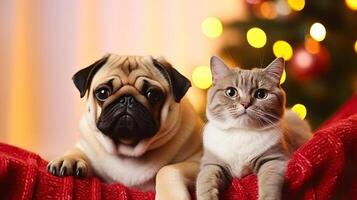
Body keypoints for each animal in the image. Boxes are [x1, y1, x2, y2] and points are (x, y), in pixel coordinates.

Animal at [47, 54, 203, 199]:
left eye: (153, 94)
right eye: (102, 93)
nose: (127, 98)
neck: (128, 150)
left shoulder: (200, 162)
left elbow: (167, 169)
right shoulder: (86, 146)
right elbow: (75, 151)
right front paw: (68, 160)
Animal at [196, 55, 310, 199]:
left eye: (261, 94)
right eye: (231, 92)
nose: (245, 104)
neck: (240, 133)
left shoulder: (274, 159)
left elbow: (269, 182)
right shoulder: (212, 163)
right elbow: (204, 180)